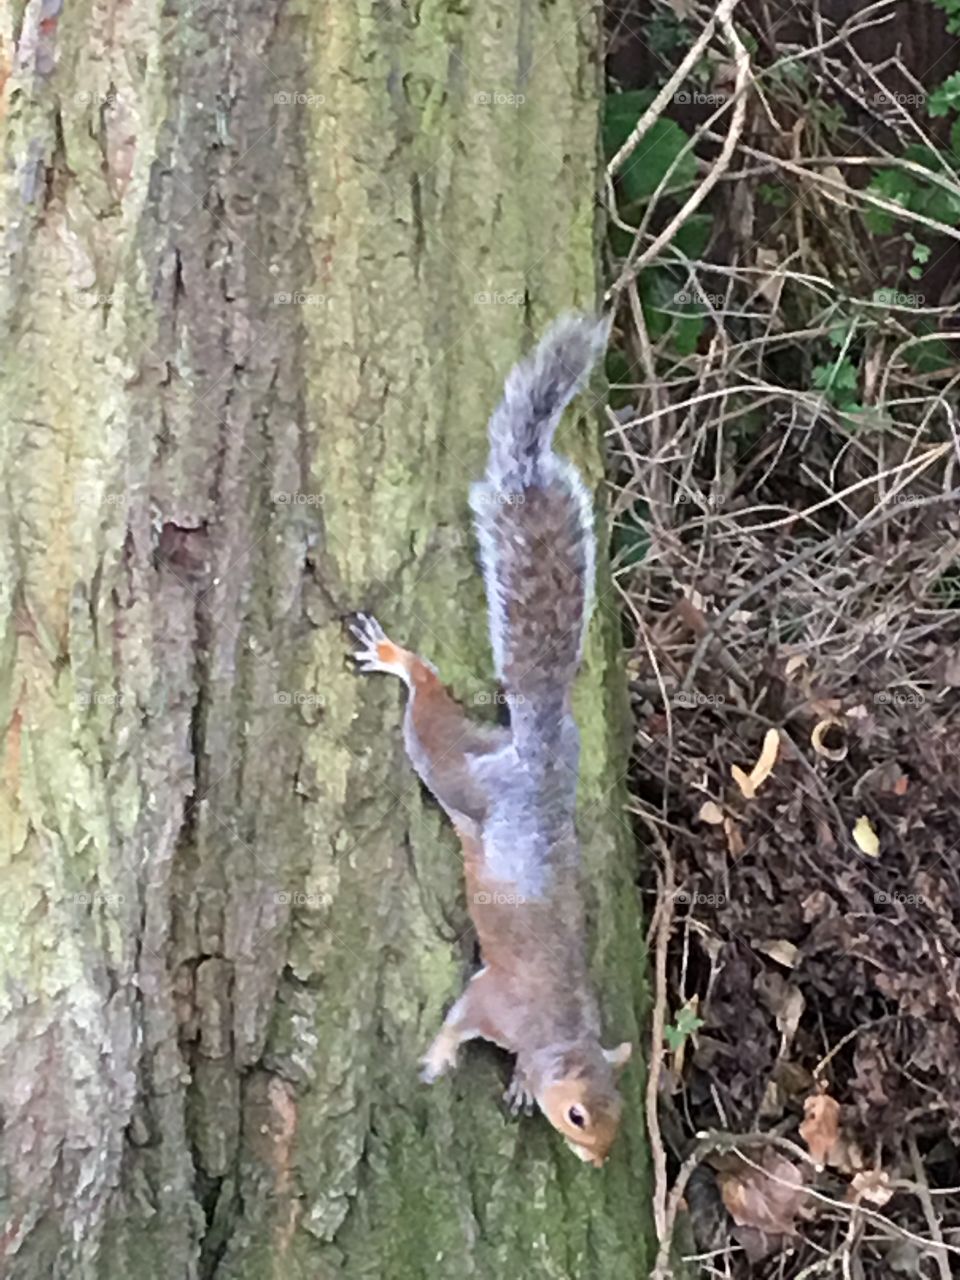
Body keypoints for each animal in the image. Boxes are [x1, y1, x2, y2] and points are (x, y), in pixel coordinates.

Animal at [350, 313, 631, 1168]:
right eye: (578, 1115)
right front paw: (440, 1061)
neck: (557, 1032)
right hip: (455, 773)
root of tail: (535, 753)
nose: (597, 1160)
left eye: (618, 1112)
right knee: (427, 711)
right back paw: (397, 659)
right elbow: (460, 1017)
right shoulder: (493, 999)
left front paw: (512, 1087)